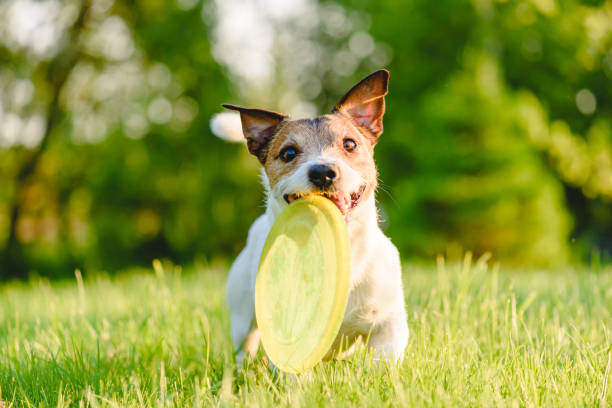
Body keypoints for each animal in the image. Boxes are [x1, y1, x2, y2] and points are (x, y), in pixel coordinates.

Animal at [222, 70, 408, 366]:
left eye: (349, 144)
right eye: (288, 153)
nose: (322, 171)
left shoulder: (389, 326)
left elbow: (383, 362)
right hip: (243, 313)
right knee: (244, 346)